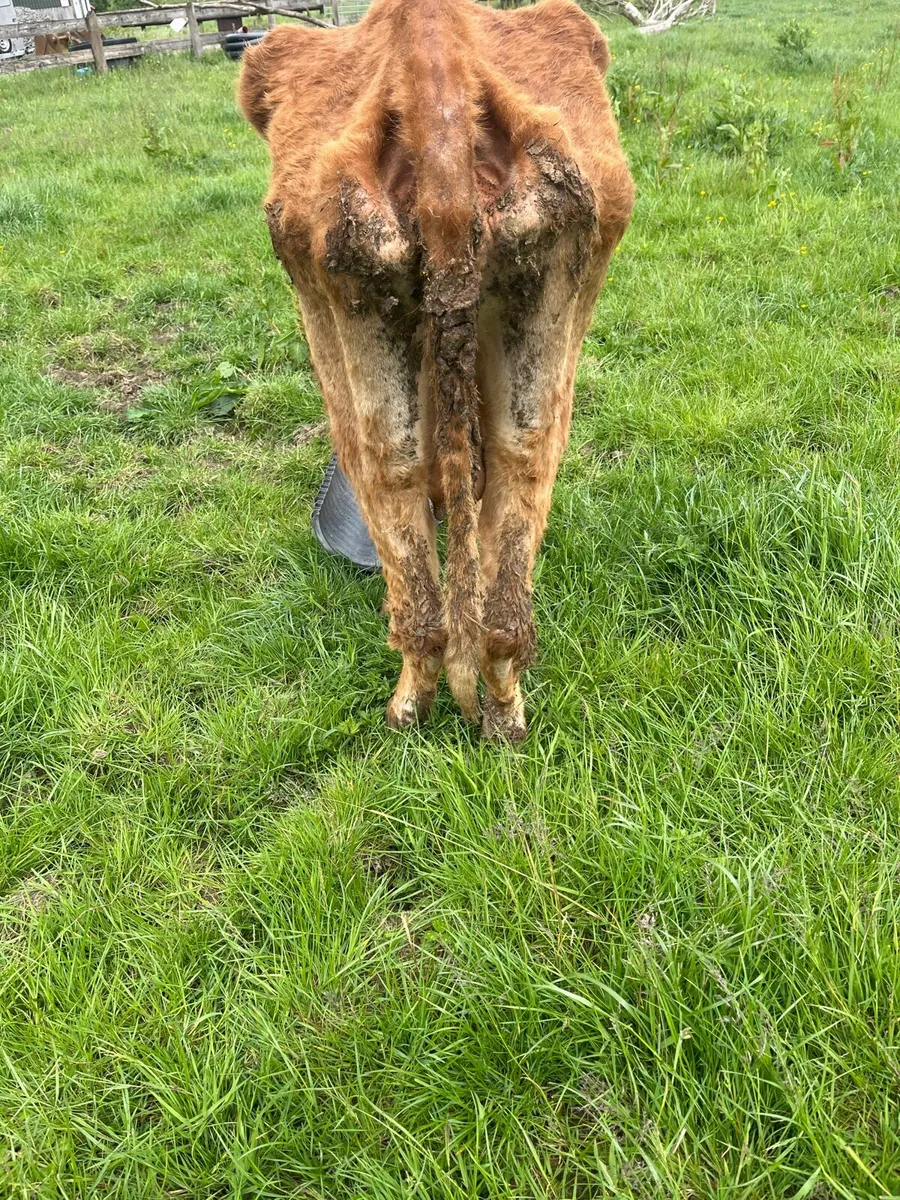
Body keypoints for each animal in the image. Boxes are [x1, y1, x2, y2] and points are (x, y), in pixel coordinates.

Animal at [239, 0, 634, 740]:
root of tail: (431, 50)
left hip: (340, 311)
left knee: (389, 473)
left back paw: (407, 706)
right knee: (519, 464)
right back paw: (501, 711)